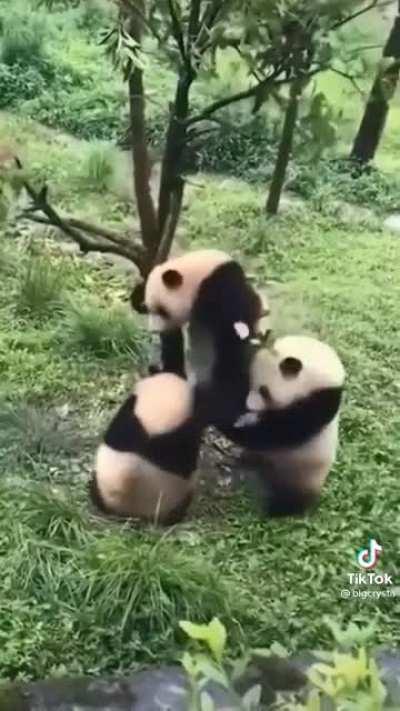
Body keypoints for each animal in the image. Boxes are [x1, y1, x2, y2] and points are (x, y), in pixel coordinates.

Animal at [143, 249, 265, 429]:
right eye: (148, 308)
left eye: (161, 310)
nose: (154, 330)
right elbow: (173, 343)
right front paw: (168, 372)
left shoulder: (221, 290)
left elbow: (228, 341)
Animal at [228, 335, 345, 516]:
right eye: (250, 380)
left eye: (264, 391)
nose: (248, 406)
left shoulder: (322, 400)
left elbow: (285, 430)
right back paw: (248, 458)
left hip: (305, 474)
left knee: (294, 497)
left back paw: (277, 510)